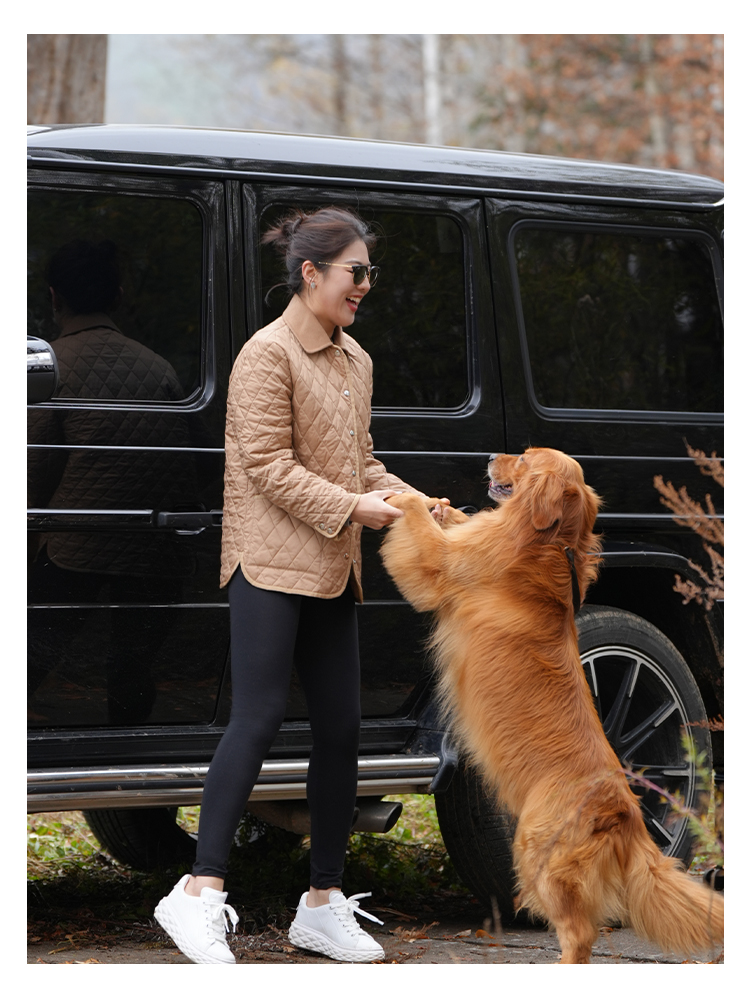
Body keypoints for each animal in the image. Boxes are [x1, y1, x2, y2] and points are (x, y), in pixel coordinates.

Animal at [380, 447, 723, 964]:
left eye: (522, 458)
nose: (489, 455)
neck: (549, 540)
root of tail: (624, 811)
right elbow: (457, 522)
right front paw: (444, 507)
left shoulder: (441, 565)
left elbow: (422, 532)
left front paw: (405, 499)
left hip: (535, 850)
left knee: (579, 932)